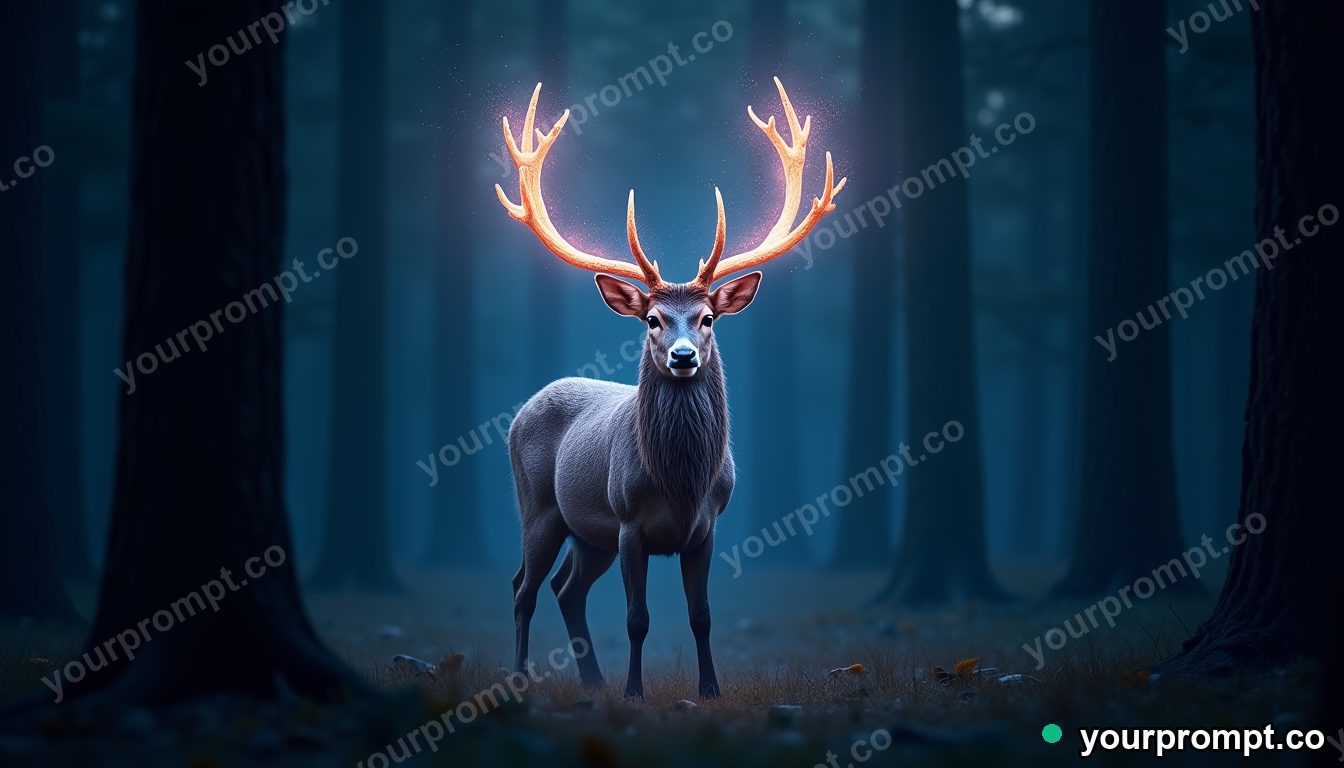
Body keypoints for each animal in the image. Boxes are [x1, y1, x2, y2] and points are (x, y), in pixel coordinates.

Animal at [495, 77, 846, 699]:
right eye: (653, 320)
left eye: (707, 318)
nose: (683, 356)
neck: (680, 481)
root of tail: (522, 411)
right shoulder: (629, 522)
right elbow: (637, 618)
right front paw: (635, 692)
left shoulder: (706, 528)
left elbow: (701, 615)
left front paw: (709, 689)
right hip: (539, 506)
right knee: (523, 586)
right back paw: (521, 678)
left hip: (588, 535)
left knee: (567, 588)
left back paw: (592, 683)